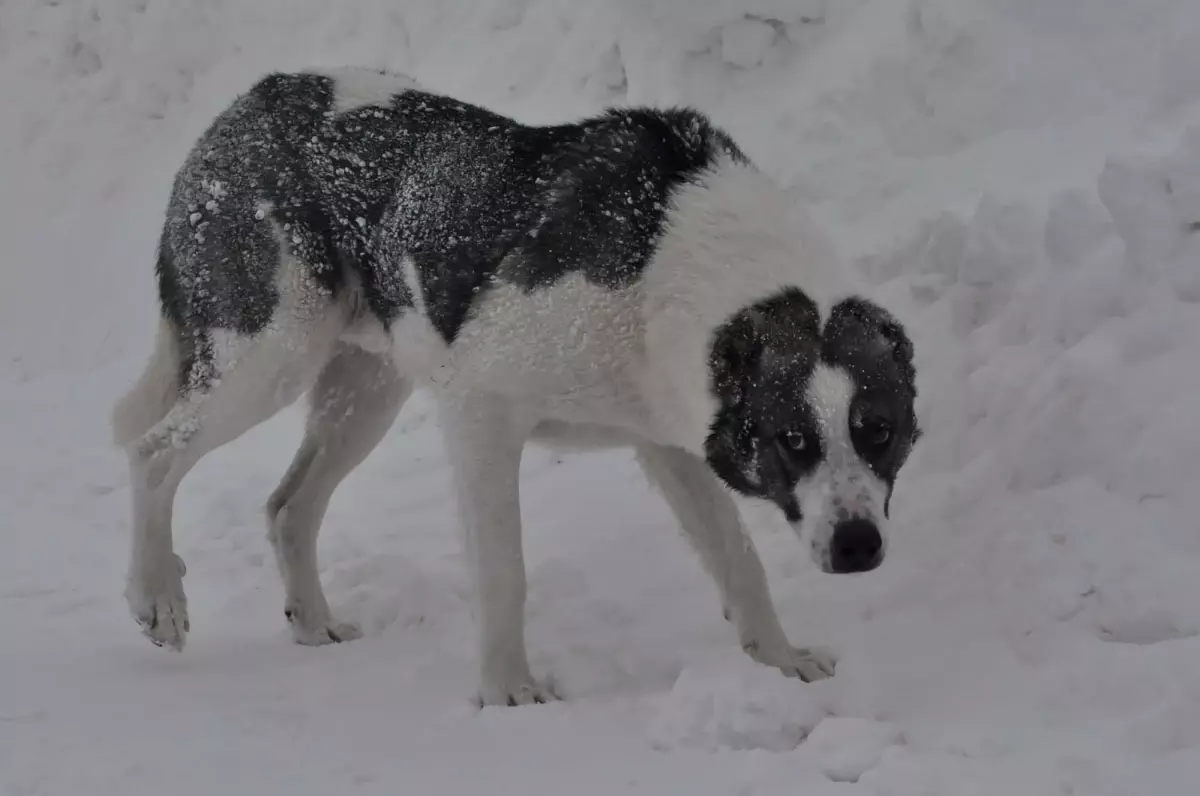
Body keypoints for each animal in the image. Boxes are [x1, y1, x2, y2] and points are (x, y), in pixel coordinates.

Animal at [110, 66, 916, 705]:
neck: (668, 260)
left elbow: (738, 561)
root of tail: (246, 103)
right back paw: (157, 598)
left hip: (365, 394)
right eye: (793, 439)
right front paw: (507, 692)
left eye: (879, 431)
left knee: (287, 507)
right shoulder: (482, 413)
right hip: (269, 355)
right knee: (153, 450)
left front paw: (779, 663)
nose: (858, 546)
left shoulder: (669, 446)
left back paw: (312, 623)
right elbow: (505, 572)